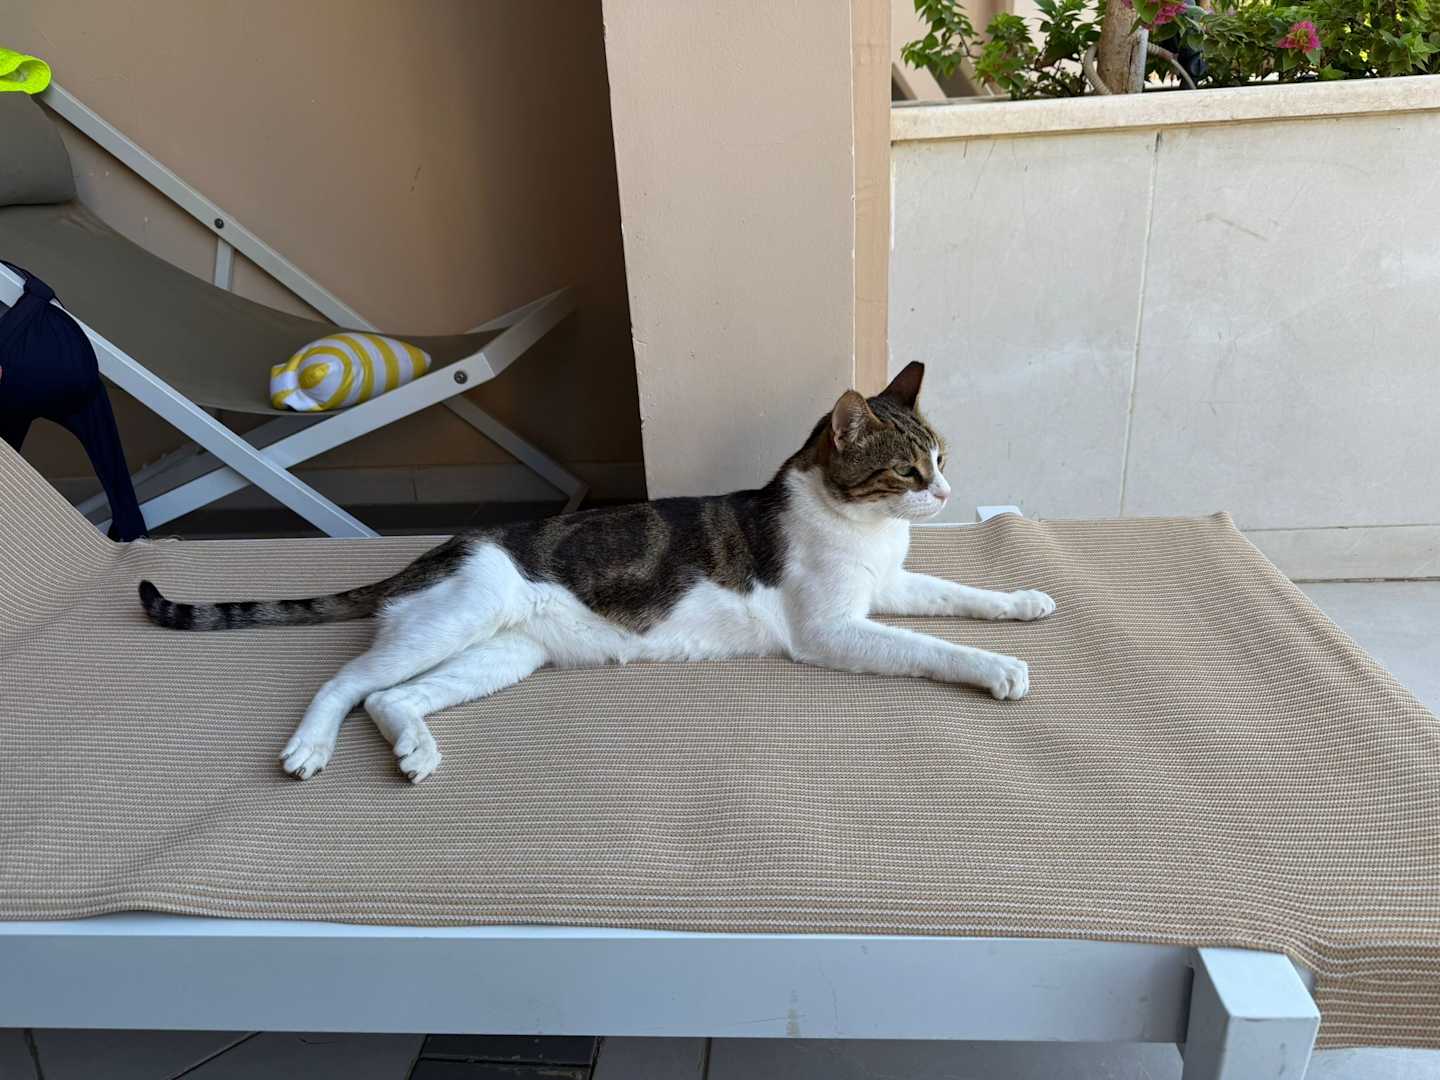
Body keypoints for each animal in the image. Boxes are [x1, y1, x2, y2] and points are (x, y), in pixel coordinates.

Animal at [138, 362, 1055, 783]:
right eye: (906, 470)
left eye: (941, 455)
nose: (946, 491)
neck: (866, 532)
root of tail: (425, 557)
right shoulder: (835, 628)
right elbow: (934, 646)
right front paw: (1000, 668)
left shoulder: (888, 588)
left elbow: (959, 596)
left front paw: (1023, 601)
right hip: (457, 620)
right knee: (344, 684)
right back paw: (307, 749)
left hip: (505, 655)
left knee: (389, 699)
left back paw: (418, 751)